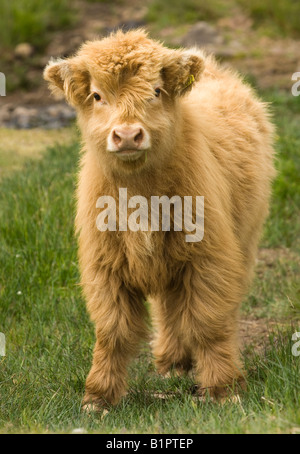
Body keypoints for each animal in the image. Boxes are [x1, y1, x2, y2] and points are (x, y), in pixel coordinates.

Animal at [43, 29, 276, 408]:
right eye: (97, 95)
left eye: (155, 91)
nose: (127, 135)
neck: (141, 197)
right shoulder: (104, 265)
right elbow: (112, 331)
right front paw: (98, 396)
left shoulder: (209, 257)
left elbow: (208, 321)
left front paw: (224, 388)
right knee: (169, 307)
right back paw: (172, 361)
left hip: (242, 241)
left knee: (217, 306)